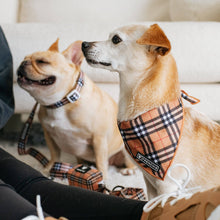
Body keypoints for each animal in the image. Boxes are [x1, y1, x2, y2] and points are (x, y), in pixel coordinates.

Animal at [16, 40, 134, 180]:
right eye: (24, 58)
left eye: (42, 62)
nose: (22, 63)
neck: (61, 102)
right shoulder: (49, 135)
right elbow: (54, 154)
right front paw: (49, 169)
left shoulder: (99, 138)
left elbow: (100, 160)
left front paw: (103, 178)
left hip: (125, 149)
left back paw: (128, 170)